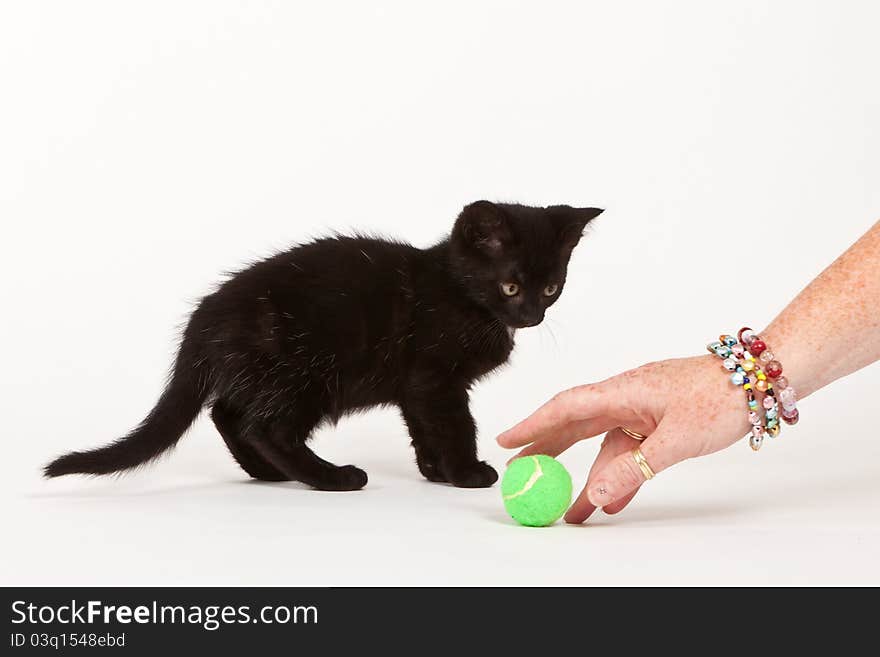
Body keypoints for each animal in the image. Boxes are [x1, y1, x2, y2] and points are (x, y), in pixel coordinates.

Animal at [44, 202, 600, 490]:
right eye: (510, 286)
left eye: (551, 288)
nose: (531, 316)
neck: (459, 293)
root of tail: (203, 319)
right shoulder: (434, 376)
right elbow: (453, 424)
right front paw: (465, 472)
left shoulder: (415, 386)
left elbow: (424, 427)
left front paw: (434, 471)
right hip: (307, 372)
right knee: (265, 426)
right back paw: (330, 477)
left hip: (267, 372)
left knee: (228, 413)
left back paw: (265, 473)